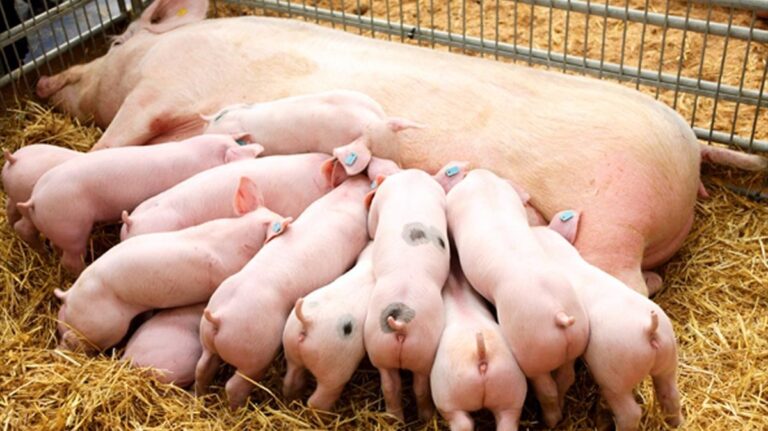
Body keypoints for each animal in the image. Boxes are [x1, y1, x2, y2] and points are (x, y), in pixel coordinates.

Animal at [17, 134, 263, 273]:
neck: (199, 155)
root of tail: (35, 199)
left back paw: (41, 250)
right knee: (70, 260)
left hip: (42, 219)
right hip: (71, 227)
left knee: (23, 228)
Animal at [363, 168, 451, 421]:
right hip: (410, 348)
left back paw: (401, 419)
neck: (412, 179)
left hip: (386, 346)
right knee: (409, 386)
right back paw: (415, 418)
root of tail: (400, 323)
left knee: (396, 385)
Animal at [446, 169, 589, 428]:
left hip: (530, 349)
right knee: (566, 377)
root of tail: (560, 314)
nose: (476, 171)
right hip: (576, 338)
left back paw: (550, 421)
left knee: (545, 388)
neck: (486, 186)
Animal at [534, 214, 682, 431]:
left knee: (630, 413)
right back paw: (677, 423)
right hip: (668, 357)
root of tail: (649, 329)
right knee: (671, 394)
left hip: (614, 376)